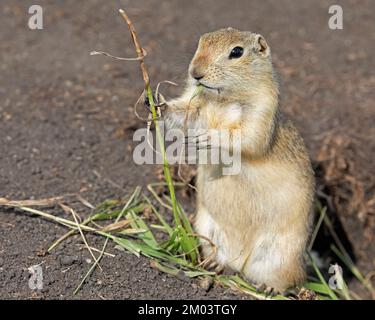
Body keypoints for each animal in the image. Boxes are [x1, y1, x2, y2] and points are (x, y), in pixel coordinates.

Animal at [150, 28, 314, 292]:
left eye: (237, 52)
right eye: (201, 41)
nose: (195, 72)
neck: (222, 100)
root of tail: (240, 264)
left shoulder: (262, 110)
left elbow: (246, 137)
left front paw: (208, 137)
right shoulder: (195, 104)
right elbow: (183, 113)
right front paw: (156, 103)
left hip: (282, 255)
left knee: (291, 280)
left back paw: (269, 288)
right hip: (208, 229)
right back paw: (214, 264)